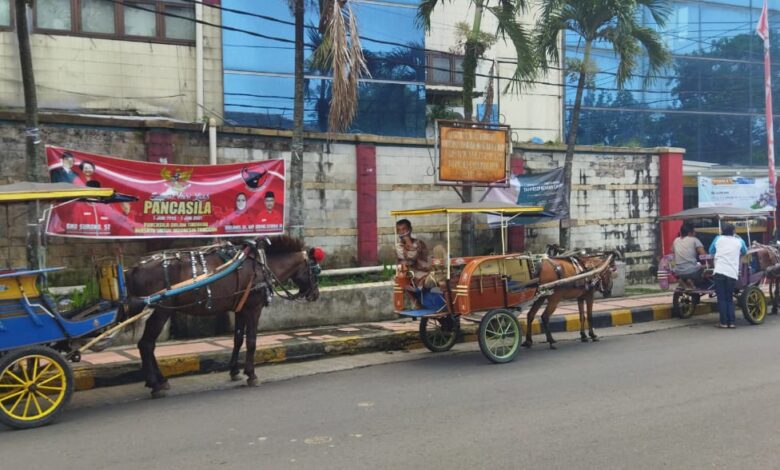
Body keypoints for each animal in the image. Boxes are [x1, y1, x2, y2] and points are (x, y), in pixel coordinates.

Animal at [123, 237, 322, 394]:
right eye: (315, 270)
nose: (315, 295)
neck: (262, 265)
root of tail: (134, 267)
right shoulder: (253, 309)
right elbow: (251, 342)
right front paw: (251, 374)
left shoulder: (241, 309)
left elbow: (238, 340)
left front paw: (234, 371)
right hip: (161, 310)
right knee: (146, 344)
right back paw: (155, 384)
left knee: (148, 345)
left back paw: (160, 381)